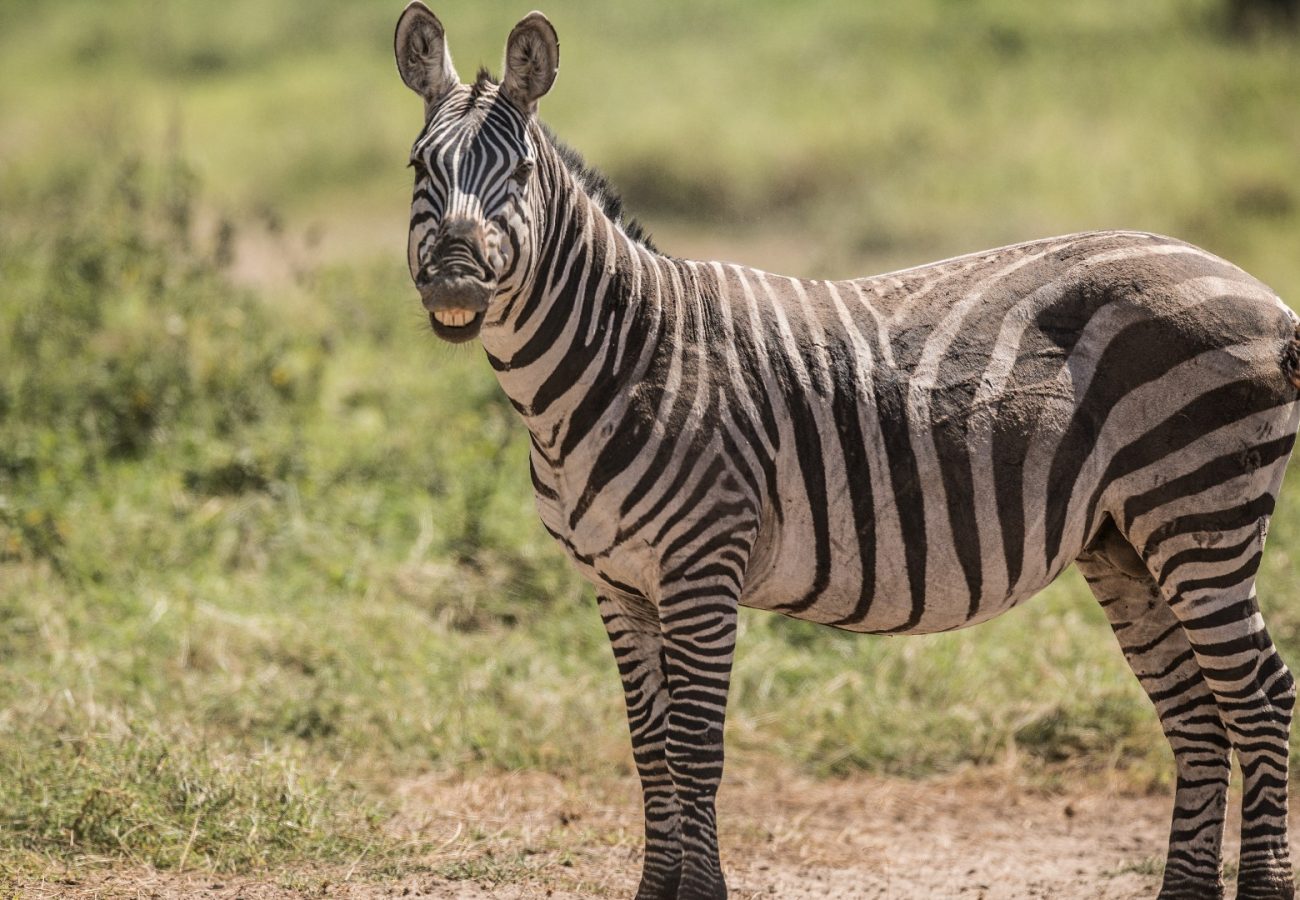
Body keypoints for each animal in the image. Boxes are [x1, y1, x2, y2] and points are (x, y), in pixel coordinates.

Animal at [393, 4, 1300, 898]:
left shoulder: (701, 568)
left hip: (1200, 512)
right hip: (1125, 542)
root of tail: (1261, 291)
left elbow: (694, 750)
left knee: (1260, 700)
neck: (623, 360)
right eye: (417, 167)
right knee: (1196, 714)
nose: (455, 281)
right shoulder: (616, 585)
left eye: (519, 174)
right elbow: (649, 750)